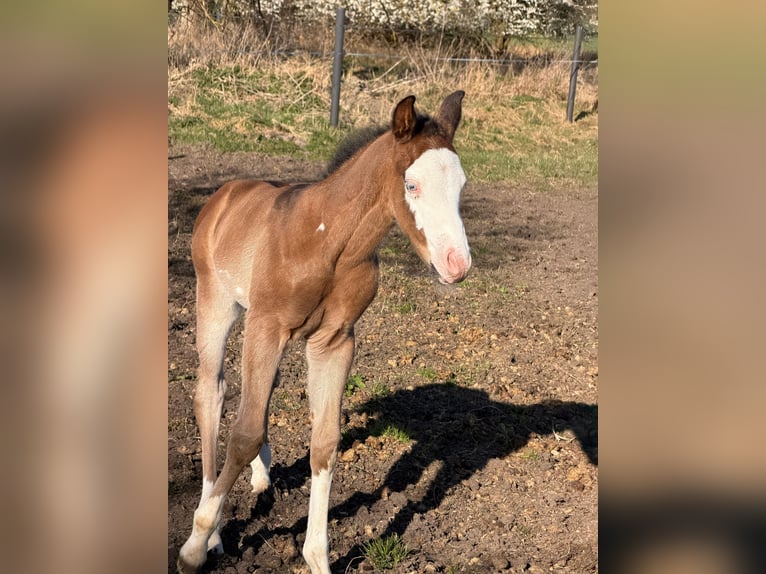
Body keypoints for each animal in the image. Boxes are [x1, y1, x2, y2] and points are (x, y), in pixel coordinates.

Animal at [177, 91, 472, 574]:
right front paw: (196, 543)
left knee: (261, 393)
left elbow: (325, 441)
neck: (331, 242)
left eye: (462, 185)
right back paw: (214, 529)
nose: (457, 264)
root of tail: (224, 195)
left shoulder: (334, 340)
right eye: (412, 186)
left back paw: (262, 476)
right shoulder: (267, 325)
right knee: (211, 393)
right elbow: (243, 433)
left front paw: (317, 557)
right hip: (217, 305)